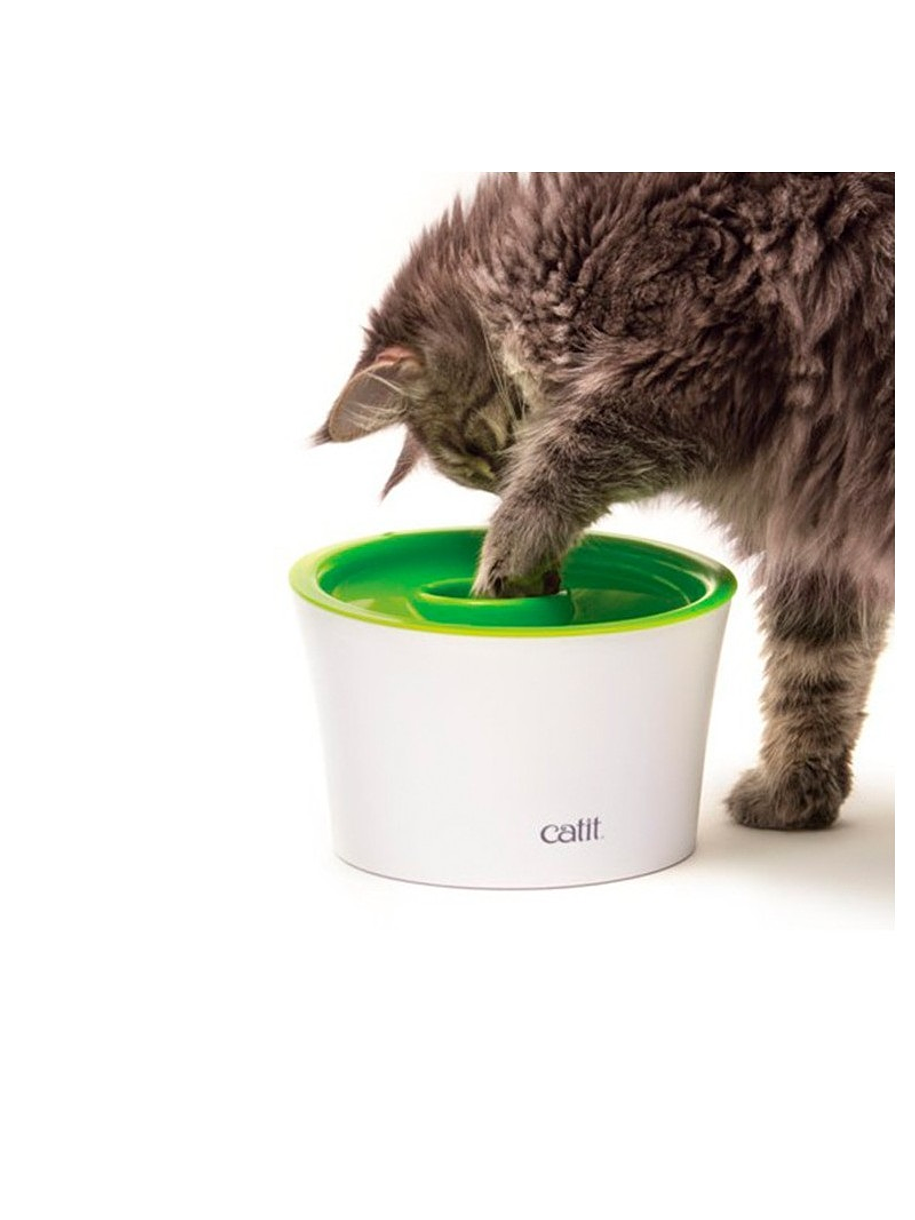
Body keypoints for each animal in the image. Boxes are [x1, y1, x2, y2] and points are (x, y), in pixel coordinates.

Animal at [315, 172, 894, 831]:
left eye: (492, 460)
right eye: (483, 478)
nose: (502, 482)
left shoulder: (692, 361)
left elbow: (563, 461)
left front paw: (502, 561)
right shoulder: (818, 531)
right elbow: (817, 672)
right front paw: (793, 794)